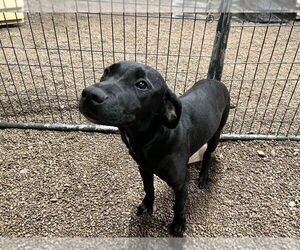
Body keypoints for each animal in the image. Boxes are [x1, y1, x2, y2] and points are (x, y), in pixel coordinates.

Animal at [79, 61, 230, 236]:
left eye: (142, 84)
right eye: (106, 72)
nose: (89, 94)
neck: (150, 139)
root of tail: (217, 82)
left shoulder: (180, 184)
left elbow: (179, 206)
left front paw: (178, 224)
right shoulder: (143, 168)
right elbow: (148, 188)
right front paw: (148, 205)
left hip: (216, 134)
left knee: (207, 154)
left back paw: (204, 175)